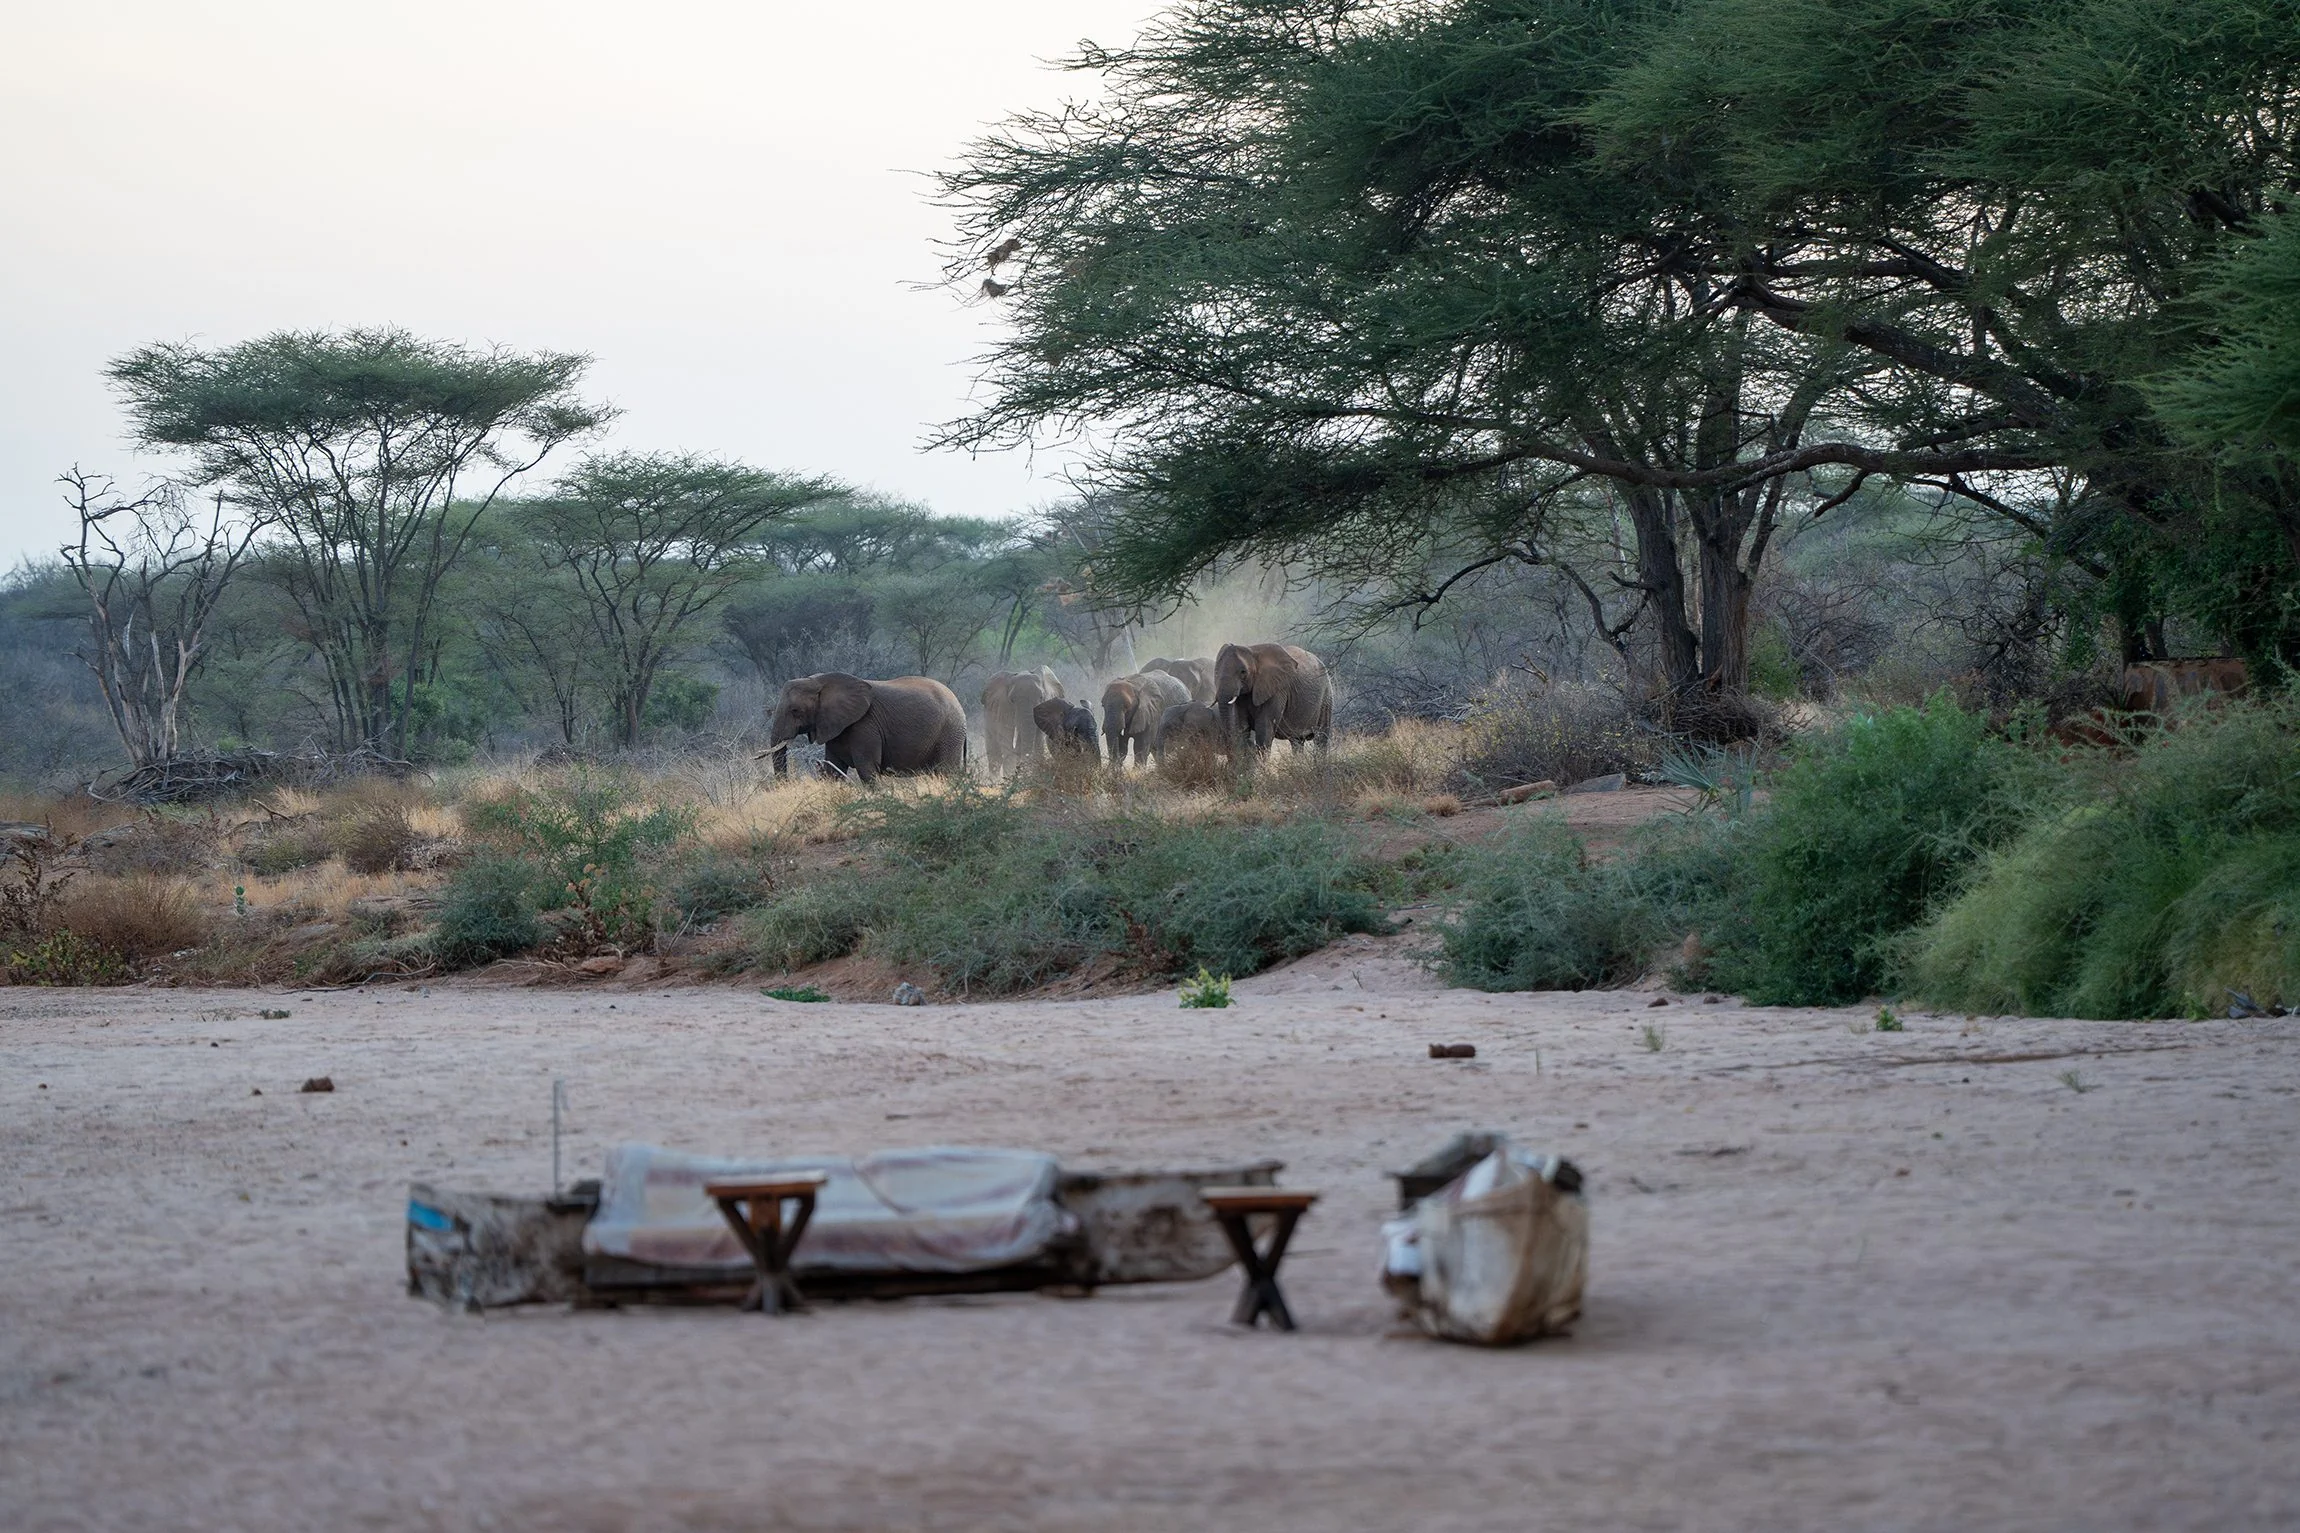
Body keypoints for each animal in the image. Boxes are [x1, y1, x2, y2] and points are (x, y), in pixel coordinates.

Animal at [768, 673, 967, 784]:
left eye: (795, 711)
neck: (819, 681)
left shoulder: (865, 724)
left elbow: (867, 769)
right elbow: (834, 769)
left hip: (950, 731)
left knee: (946, 771)